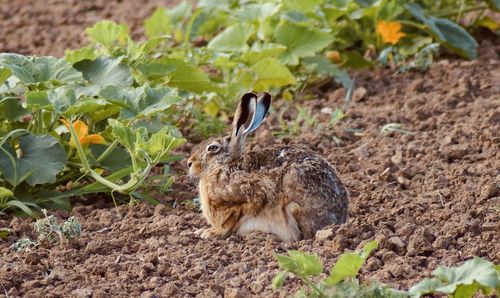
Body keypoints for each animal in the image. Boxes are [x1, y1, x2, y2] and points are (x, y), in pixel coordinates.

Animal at [188, 92, 348, 241]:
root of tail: (339, 219)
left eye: (212, 148)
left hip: (294, 199)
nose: (189, 163)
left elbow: (234, 218)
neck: (225, 164)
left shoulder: (251, 194)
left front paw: (209, 233)